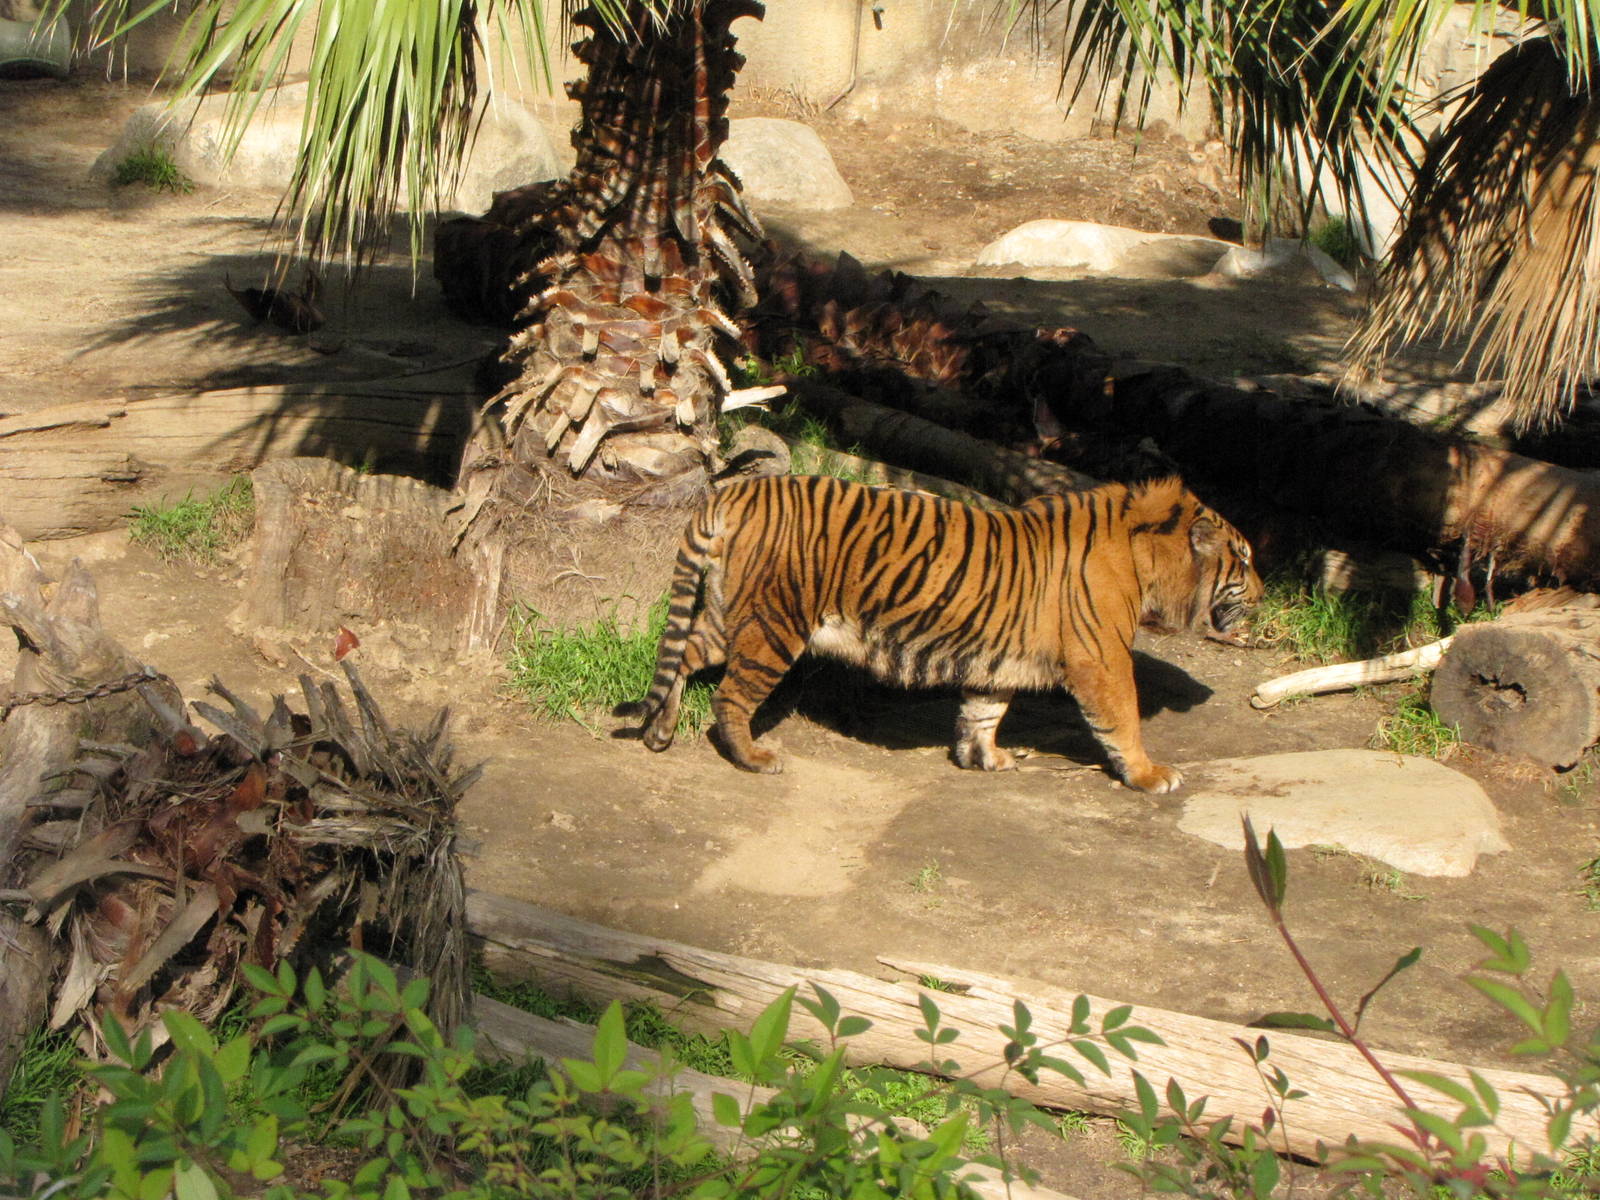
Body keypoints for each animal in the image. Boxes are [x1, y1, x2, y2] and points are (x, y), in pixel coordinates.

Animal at [614, 473, 1262, 793]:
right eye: (1245, 560)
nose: (1263, 594)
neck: (1147, 559)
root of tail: (735, 488)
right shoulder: (1101, 660)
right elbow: (1123, 721)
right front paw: (1150, 775)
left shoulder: (999, 657)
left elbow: (984, 710)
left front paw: (985, 759)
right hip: (774, 625)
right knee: (730, 696)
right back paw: (753, 758)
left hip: (733, 615)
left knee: (683, 657)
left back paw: (660, 731)